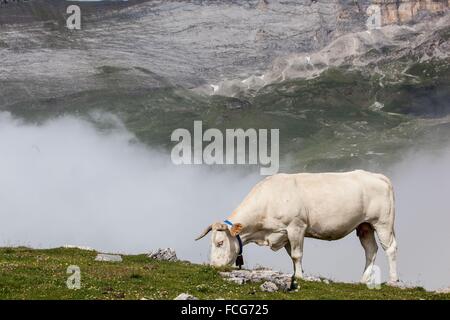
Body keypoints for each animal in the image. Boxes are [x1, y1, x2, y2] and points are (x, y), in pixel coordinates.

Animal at [195, 170, 400, 290]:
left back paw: (393, 280)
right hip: (364, 226)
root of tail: (379, 176)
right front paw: (297, 274)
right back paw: (363, 280)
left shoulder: (296, 226)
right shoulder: (284, 234)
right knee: (370, 250)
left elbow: (296, 255)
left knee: (390, 248)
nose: (214, 266)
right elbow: (292, 257)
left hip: (382, 222)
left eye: (220, 242)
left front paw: (300, 277)